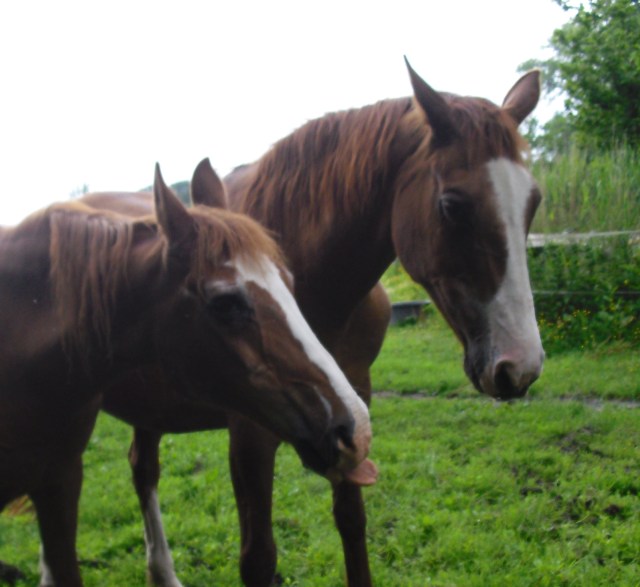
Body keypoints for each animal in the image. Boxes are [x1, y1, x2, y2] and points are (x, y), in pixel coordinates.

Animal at [97, 60, 545, 587]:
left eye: (534, 202)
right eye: (452, 204)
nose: (520, 366)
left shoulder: (351, 406)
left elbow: (351, 520)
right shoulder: (251, 431)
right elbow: (259, 558)